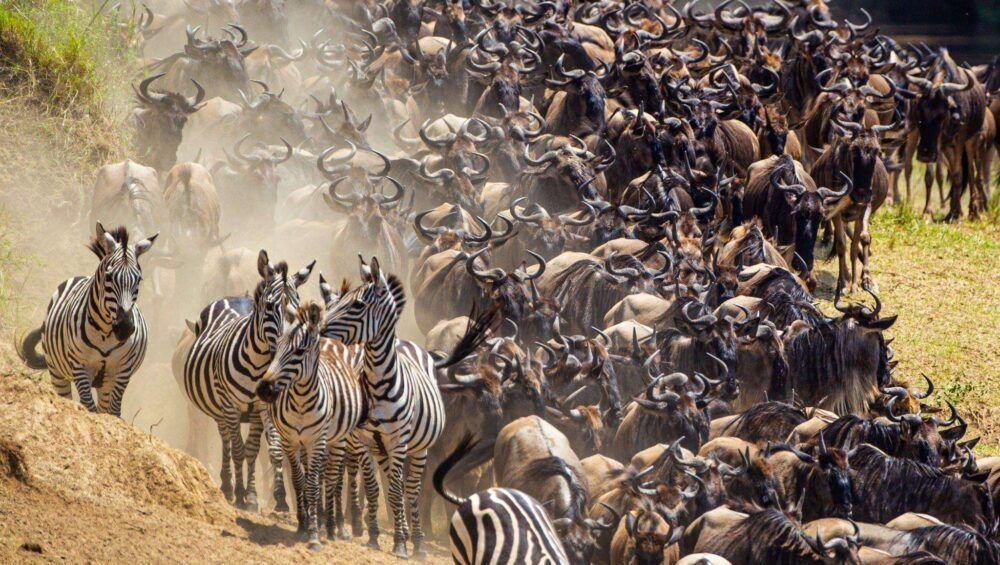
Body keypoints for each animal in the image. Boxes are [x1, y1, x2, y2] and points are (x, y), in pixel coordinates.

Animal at [18, 224, 156, 414]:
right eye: (109, 277)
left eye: (139, 280)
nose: (125, 328)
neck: (105, 332)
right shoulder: (80, 366)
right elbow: (88, 406)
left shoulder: (122, 370)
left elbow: (113, 412)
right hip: (57, 372)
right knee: (66, 398)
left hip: (106, 383)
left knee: (104, 406)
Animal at [179, 249, 312, 508]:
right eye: (270, 306)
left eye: (297, 305)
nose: (290, 343)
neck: (258, 365)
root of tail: (235, 296)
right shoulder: (230, 406)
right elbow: (239, 449)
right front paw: (240, 493)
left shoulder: (262, 407)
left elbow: (262, 449)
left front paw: (262, 497)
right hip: (219, 408)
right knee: (226, 441)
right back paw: (227, 486)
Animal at [320, 258, 492, 556]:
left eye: (357, 305)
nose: (318, 330)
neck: (378, 384)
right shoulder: (366, 440)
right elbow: (375, 487)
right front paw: (374, 535)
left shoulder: (398, 441)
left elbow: (399, 489)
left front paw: (402, 542)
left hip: (418, 447)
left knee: (410, 488)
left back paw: (418, 541)